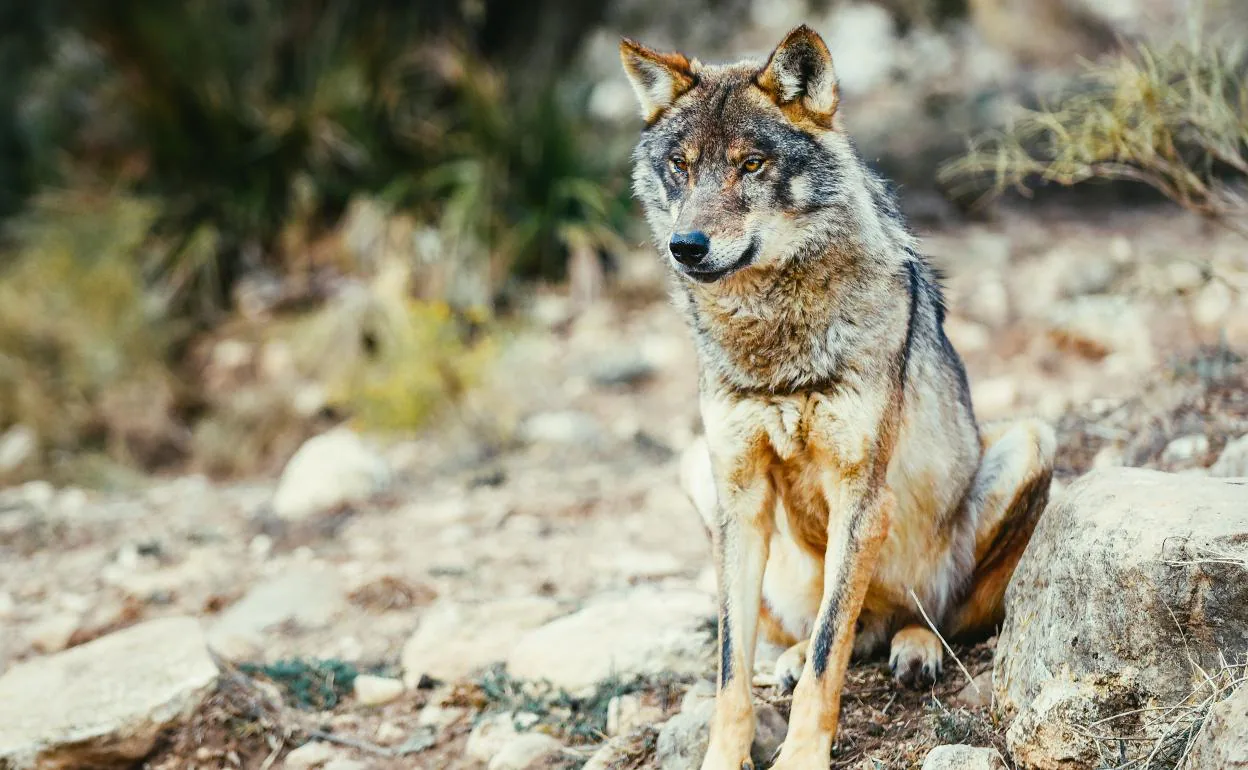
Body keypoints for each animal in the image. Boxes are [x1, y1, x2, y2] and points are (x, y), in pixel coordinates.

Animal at [619, 25, 1058, 768]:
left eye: (752, 164)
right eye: (680, 166)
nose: (686, 246)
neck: (773, 341)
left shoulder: (862, 495)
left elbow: (831, 659)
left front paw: (801, 756)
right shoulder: (740, 496)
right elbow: (732, 670)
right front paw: (726, 753)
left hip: (1030, 444)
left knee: (939, 619)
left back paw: (915, 646)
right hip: (698, 476)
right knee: (812, 634)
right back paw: (796, 654)